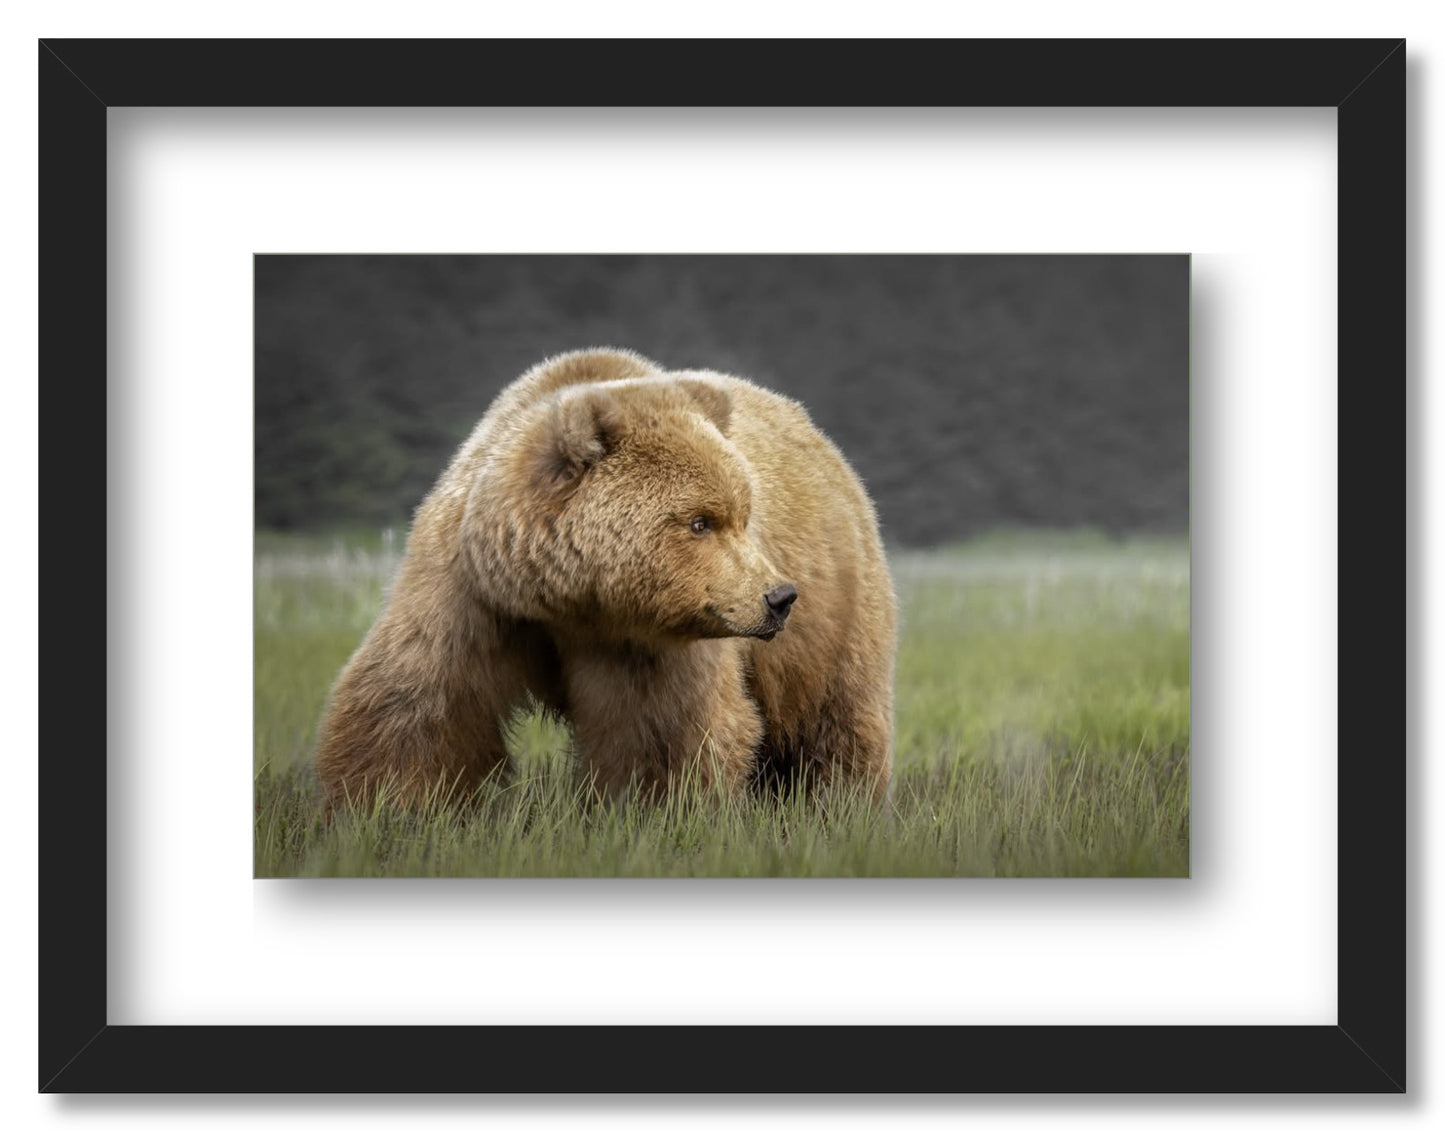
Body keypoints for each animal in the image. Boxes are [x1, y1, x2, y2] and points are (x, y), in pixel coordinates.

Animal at [313, 347, 897, 809]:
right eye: (700, 521)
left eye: (742, 516)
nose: (778, 596)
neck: (565, 599)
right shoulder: (471, 592)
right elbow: (416, 705)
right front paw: (382, 809)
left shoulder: (645, 643)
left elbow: (662, 732)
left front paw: (654, 812)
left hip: (838, 612)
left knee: (836, 719)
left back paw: (840, 805)